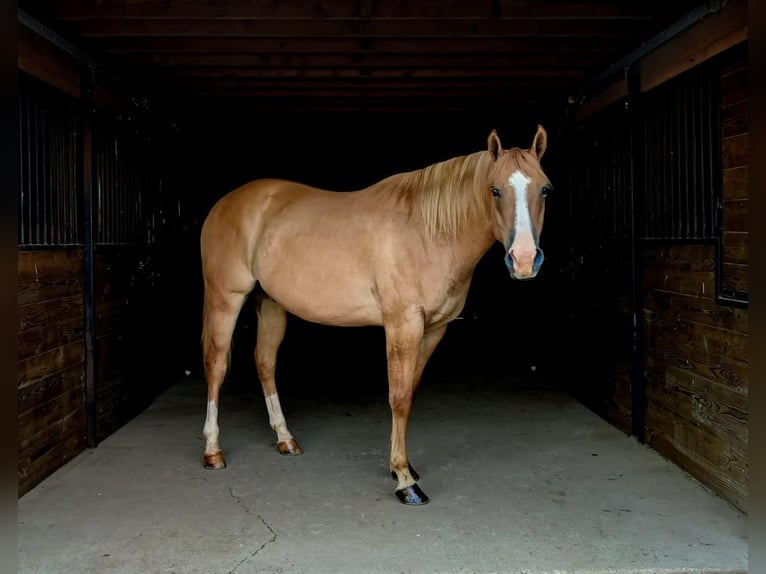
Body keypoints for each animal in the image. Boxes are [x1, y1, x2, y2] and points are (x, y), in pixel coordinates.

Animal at [201, 127, 556, 508]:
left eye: (545, 189)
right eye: (495, 190)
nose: (524, 260)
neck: (429, 232)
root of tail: (225, 203)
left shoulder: (434, 329)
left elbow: (409, 392)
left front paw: (402, 466)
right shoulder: (403, 325)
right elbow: (398, 397)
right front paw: (405, 481)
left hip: (271, 304)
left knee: (265, 363)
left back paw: (285, 438)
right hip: (226, 300)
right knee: (217, 366)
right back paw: (213, 451)